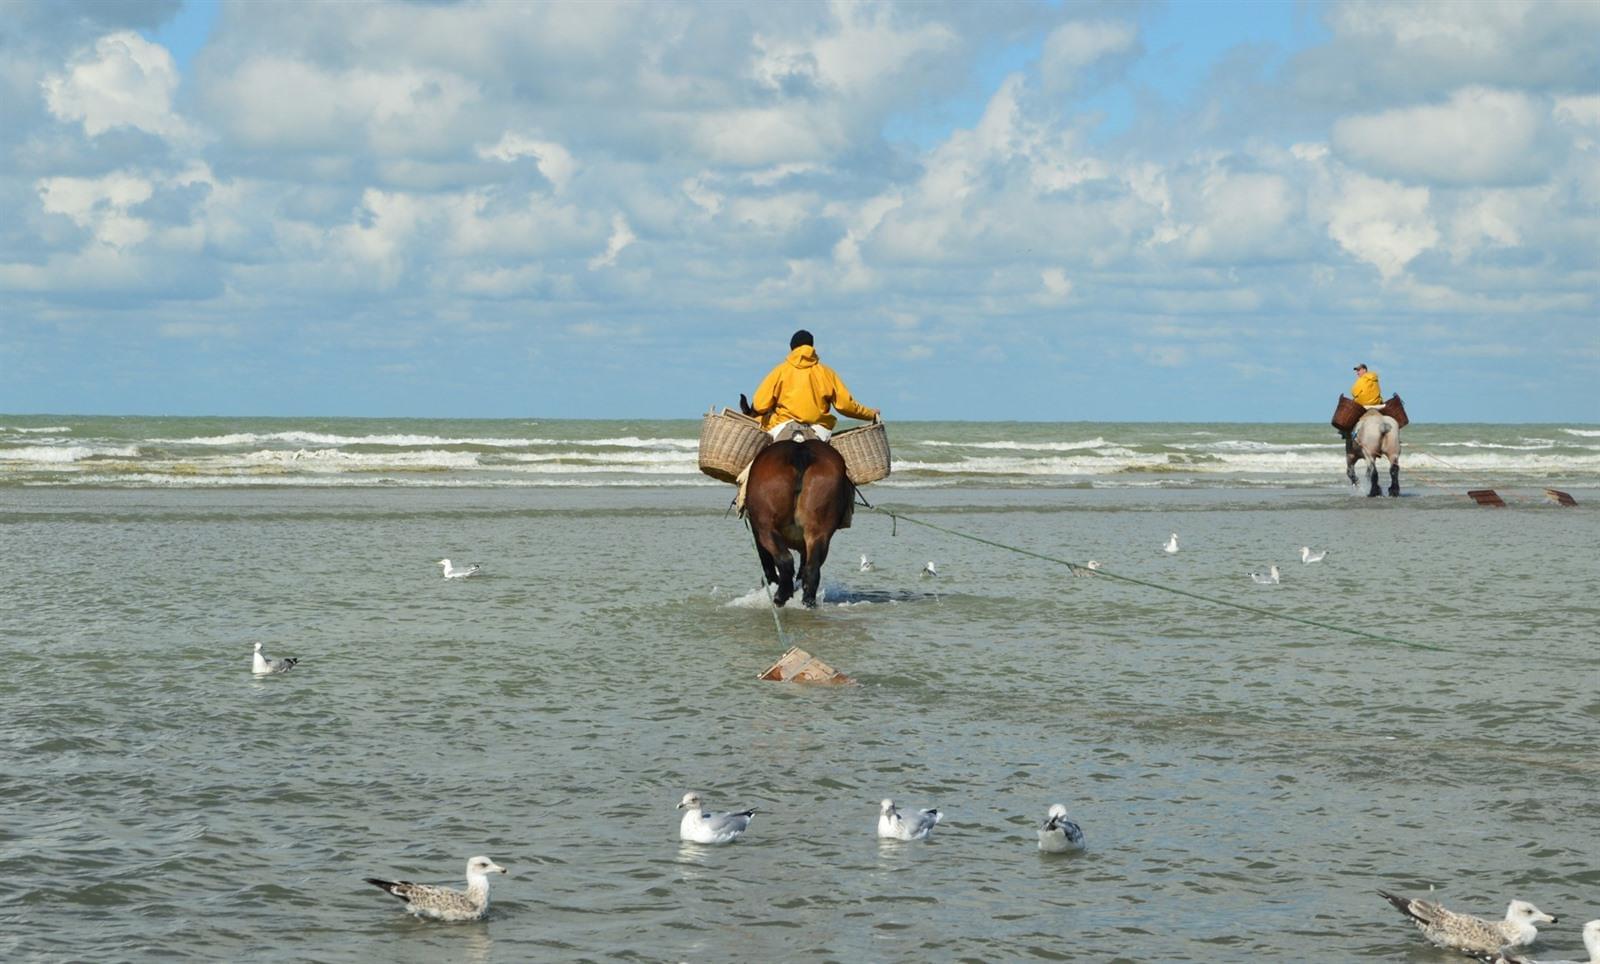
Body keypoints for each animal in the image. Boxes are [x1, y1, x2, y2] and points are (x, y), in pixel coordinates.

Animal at [739, 393, 857, 605]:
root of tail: (801, 452)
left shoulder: (756, 530)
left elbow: (768, 565)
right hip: (819, 531)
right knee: (812, 569)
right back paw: (807, 601)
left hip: (766, 527)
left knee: (785, 562)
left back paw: (780, 596)